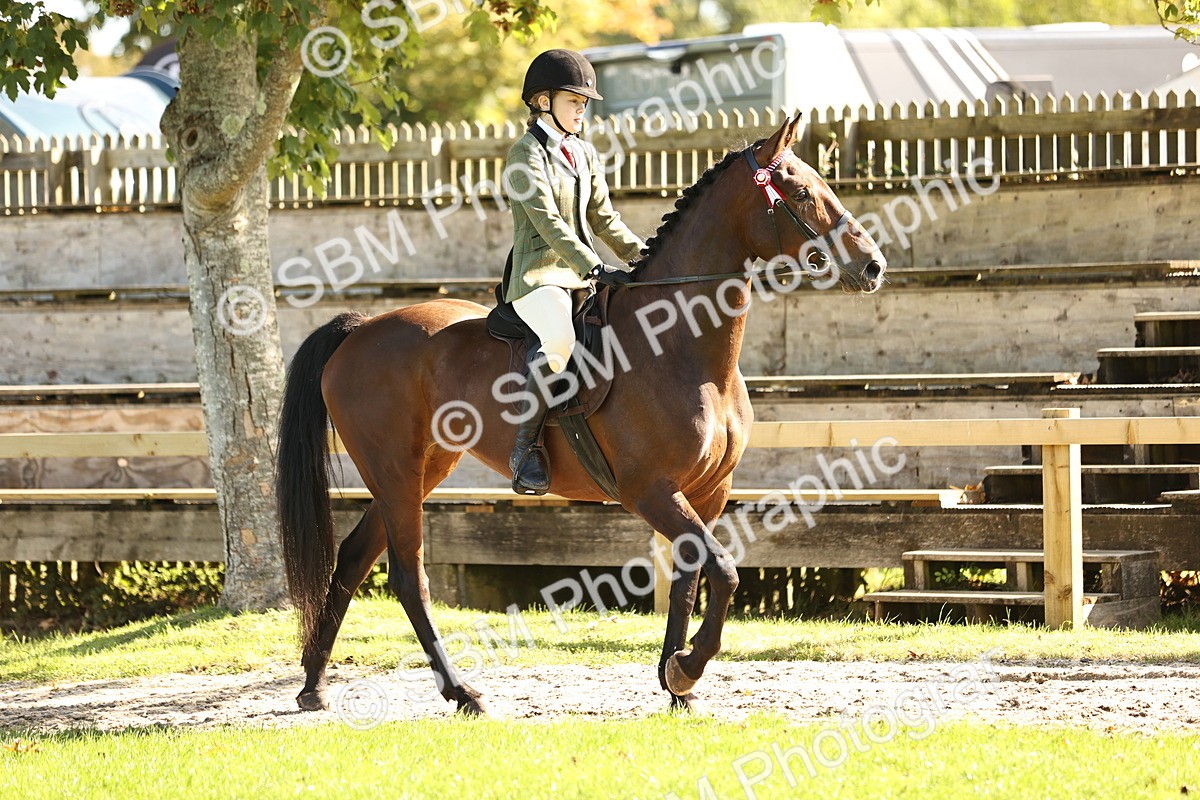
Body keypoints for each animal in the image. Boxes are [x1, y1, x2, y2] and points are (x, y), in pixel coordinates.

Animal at [277, 112, 887, 714]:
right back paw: (461, 692)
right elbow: (725, 571)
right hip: (396, 473)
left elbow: (691, 576)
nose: (873, 267)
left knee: (356, 556)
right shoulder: (651, 490)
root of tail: (360, 330)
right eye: (802, 193)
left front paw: (676, 684)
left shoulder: (708, 493)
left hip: (419, 470)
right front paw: (687, 667)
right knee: (408, 576)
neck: (682, 346)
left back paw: (315, 686)